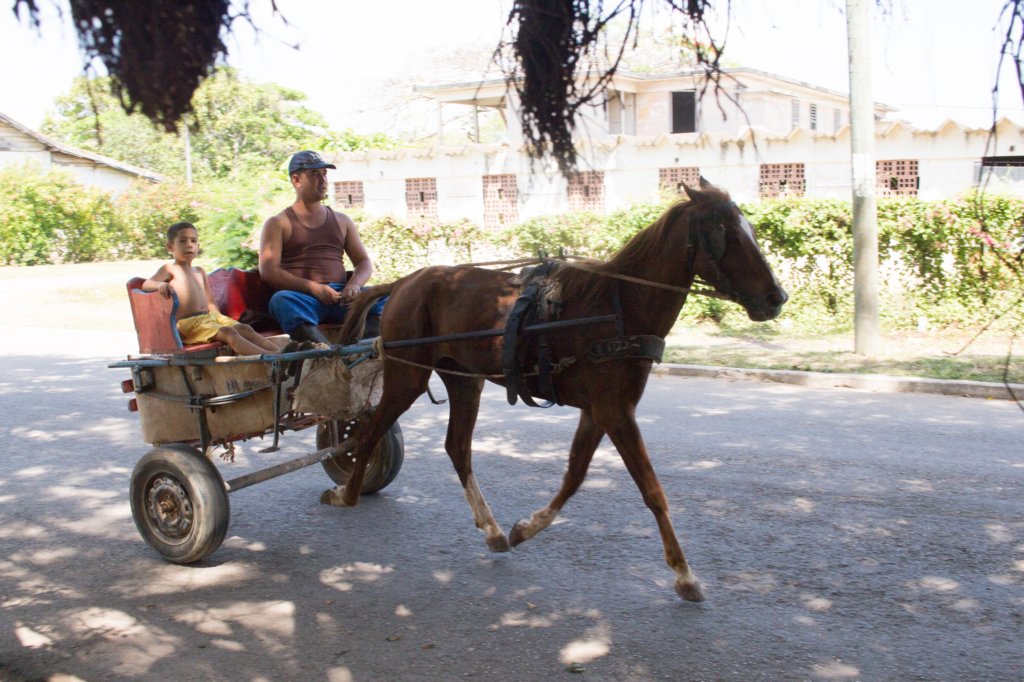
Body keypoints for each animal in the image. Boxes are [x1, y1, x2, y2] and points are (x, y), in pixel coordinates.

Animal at [323, 178, 786, 598]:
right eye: (725, 233)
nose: (776, 297)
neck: (619, 305)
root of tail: (403, 283)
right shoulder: (615, 411)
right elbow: (652, 489)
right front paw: (684, 574)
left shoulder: (601, 410)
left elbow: (574, 475)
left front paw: (526, 528)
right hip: (407, 377)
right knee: (370, 431)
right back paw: (348, 493)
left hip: (464, 380)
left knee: (457, 447)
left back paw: (492, 529)